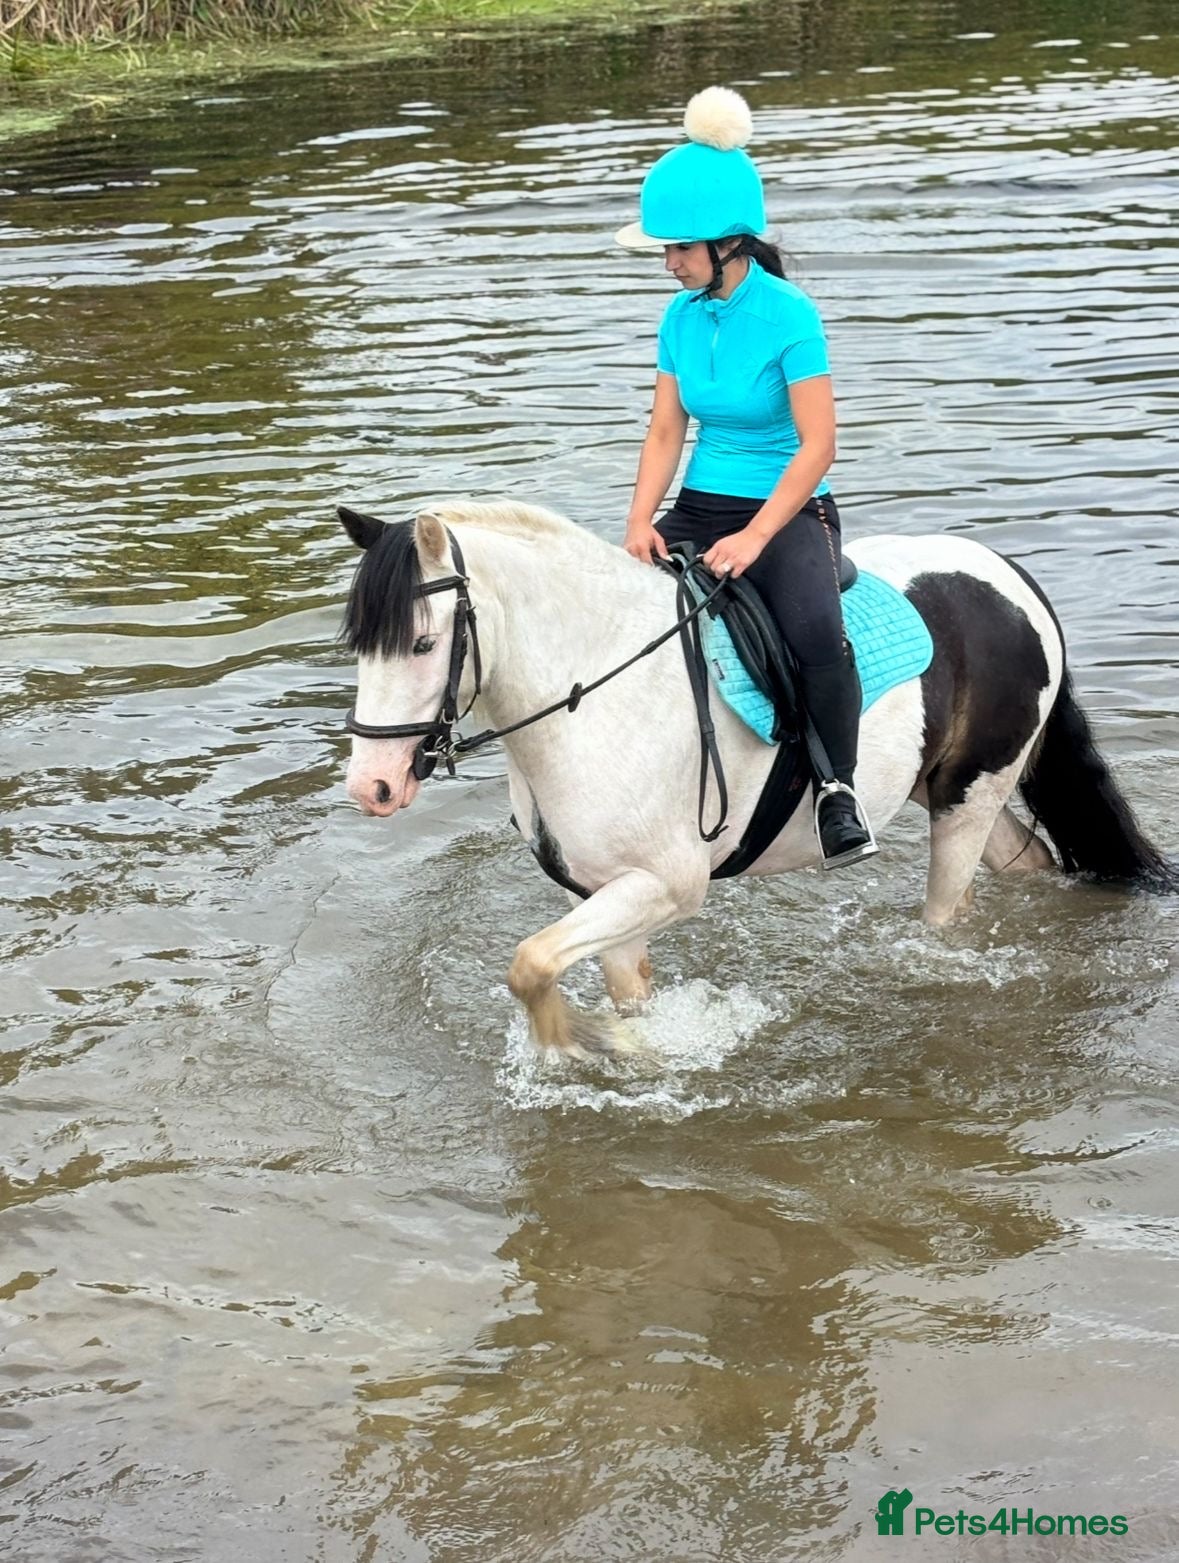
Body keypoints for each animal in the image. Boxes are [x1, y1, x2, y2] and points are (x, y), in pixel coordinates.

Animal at [337, 499, 1174, 1056]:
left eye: (421, 643)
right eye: (357, 643)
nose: (371, 787)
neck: (591, 691)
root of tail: (1010, 576)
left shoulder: (668, 882)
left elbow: (529, 963)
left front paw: (578, 1042)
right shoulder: (600, 890)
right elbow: (588, 982)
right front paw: (628, 1050)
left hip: (968, 799)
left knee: (949, 913)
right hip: (949, 787)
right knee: (1028, 860)